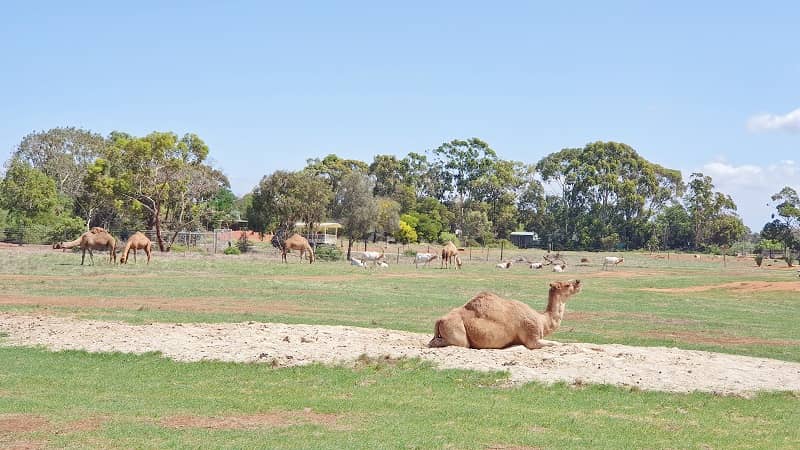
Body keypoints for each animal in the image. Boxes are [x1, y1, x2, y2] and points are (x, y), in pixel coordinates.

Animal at [428, 280, 584, 350]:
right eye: (567, 285)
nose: (578, 282)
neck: (542, 320)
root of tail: (439, 320)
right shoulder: (532, 336)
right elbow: (556, 343)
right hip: (458, 332)